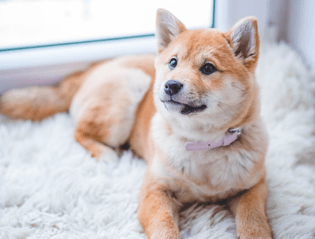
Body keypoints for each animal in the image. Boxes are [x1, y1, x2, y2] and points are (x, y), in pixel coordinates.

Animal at [0, 8, 272, 239]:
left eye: (208, 68)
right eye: (173, 62)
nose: (170, 85)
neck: (202, 144)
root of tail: (91, 70)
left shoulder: (253, 187)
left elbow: (253, 219)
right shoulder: (155, 191)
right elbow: (164, 228)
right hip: (127, 94)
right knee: (79, 131)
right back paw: (106, 154)